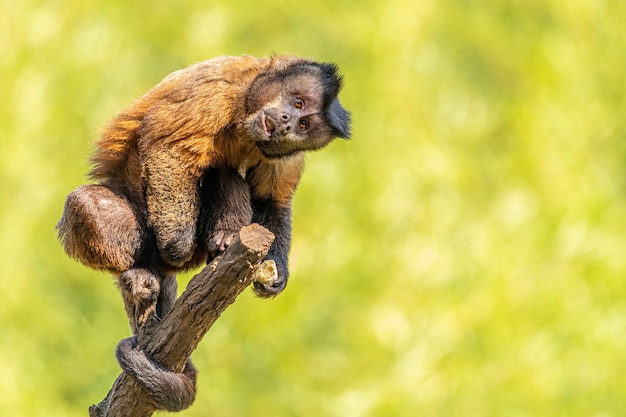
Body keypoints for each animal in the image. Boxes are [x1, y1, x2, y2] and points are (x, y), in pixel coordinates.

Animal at [57, 54, 352, 410]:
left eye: (304, 124)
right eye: (297, 103)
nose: (286, 121)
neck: (245, 111)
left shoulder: (287, 152)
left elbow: (273, 200)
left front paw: (277, 271)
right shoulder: (216, 92)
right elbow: (167, 148)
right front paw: (176, 243)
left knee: (222, 174)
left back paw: (223, 240)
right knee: (85, 205)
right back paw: (139, 275)